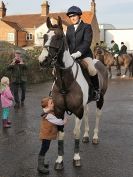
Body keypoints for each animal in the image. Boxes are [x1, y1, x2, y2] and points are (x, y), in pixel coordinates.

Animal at [37, 17, 108, 170]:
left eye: (59, 37)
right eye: (44, 36)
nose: (42, 61)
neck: (65, 82)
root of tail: (99, 61)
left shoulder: (77, 110)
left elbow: (76, 132)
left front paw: (76, 158)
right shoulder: (59, 111)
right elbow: (60, 135)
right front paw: (59, 160)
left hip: (100, 100)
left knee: (98, 115)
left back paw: (94, 137)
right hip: (86, 104)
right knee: (87, 114)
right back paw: (86, 136)